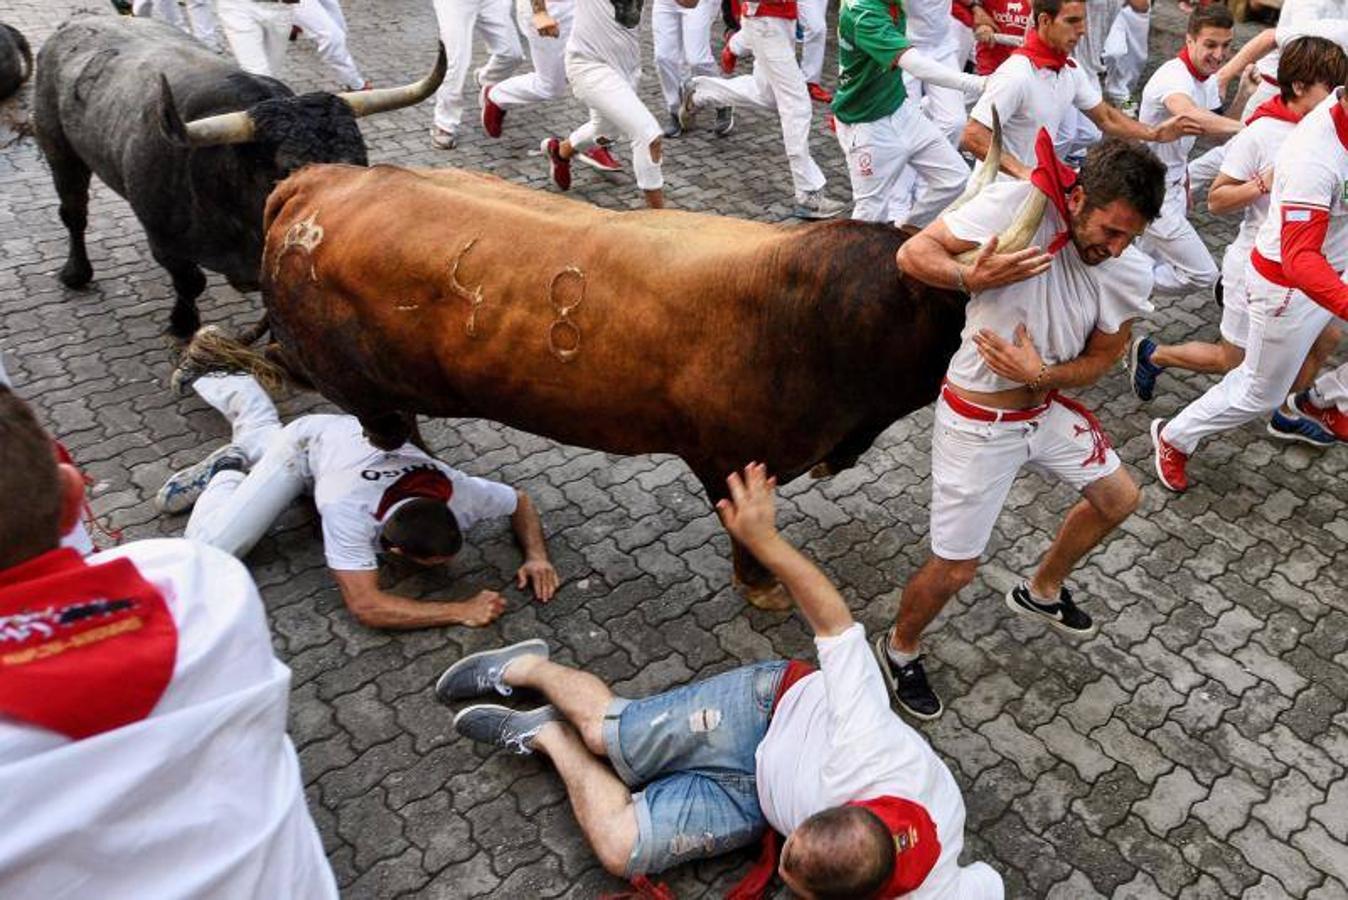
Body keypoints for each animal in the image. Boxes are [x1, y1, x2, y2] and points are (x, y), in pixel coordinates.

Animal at [221, 163, 1024, 603]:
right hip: (361, 390)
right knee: (379, 426)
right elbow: (746, 539)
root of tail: (321, 179)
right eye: (965, 306)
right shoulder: (729, 461)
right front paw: (762, 587)